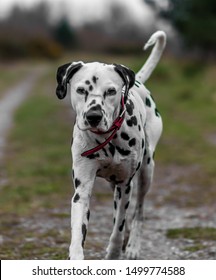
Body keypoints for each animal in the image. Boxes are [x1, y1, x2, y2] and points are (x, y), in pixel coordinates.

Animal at [55, 30, 165, 260]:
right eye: (81, 90)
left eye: (111, 91)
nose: (93, 116)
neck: (105, 139)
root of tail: (138, 82)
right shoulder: (82, 189)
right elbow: (78, 231)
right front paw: (76, 255)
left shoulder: (125, 184)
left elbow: (118, 226)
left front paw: (114, 252)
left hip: (146, 172)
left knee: (139, 211)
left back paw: (132, 245)